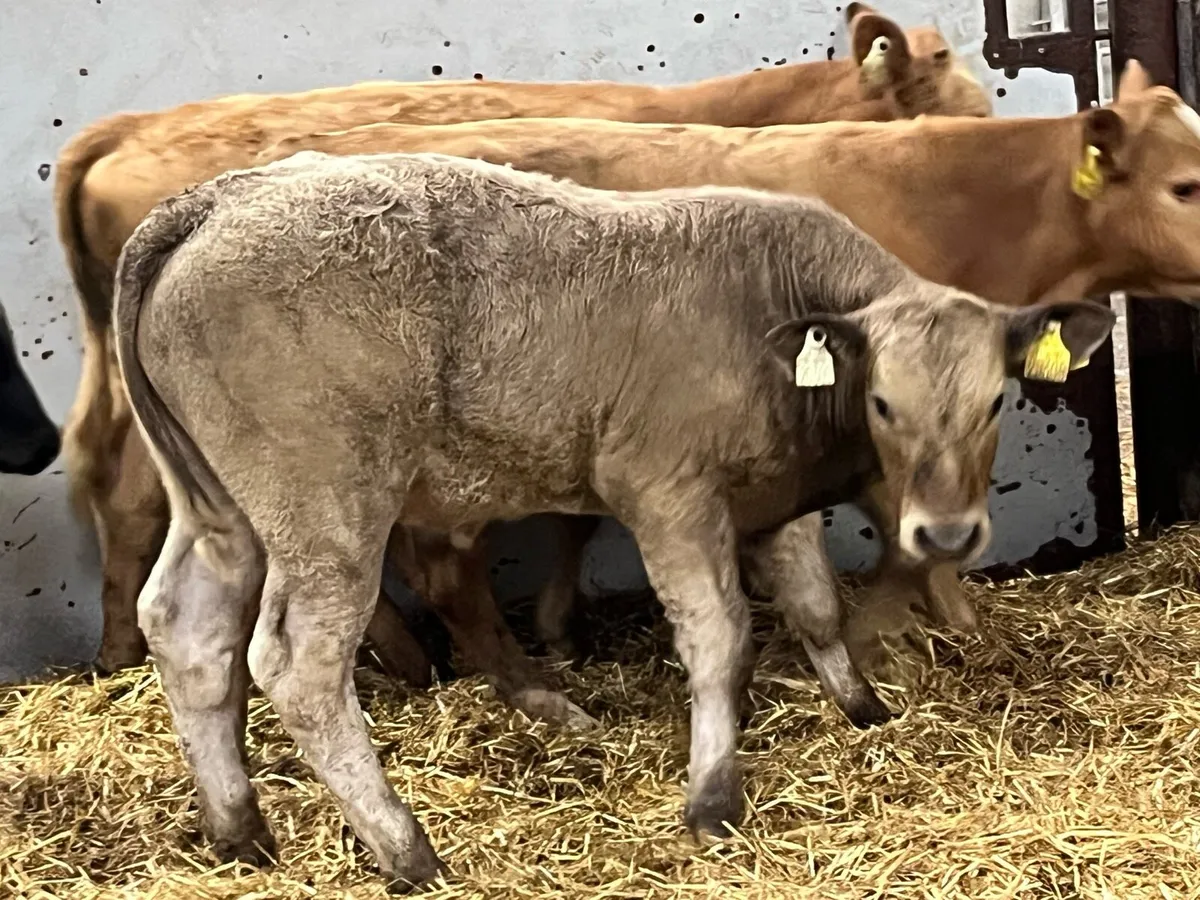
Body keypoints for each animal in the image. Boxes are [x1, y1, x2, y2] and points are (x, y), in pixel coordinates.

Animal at [113, 151, 1113, 889]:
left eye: (996, 402)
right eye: (884, 404)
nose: (945, 536)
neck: (771, 310)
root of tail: (217, 199)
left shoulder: (769, 503)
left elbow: (818, 606)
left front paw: (863, 708)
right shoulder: (666, 493)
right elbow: (720, 637)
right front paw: (712, 800)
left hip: (222, 511)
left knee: (185, 625)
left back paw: (238, 828)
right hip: (328, 508)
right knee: (299, 664)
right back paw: (405, 847)